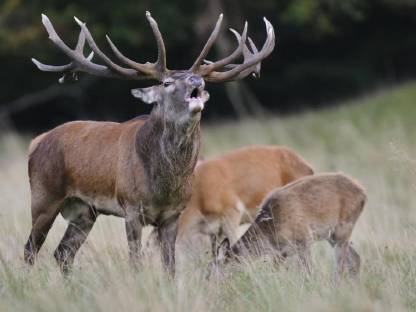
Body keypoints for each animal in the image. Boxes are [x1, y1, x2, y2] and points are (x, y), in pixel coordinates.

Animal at [24, 12, 274, 272]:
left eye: (202, 79)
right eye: (166, 83)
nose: (197, 81)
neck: (164, 185)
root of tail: (37, 141)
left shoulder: (173, 214)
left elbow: (170, 265)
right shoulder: (132, 208)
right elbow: (135, 261)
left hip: (84, 210)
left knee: (63, 253)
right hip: (44, 196)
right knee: (31, 248)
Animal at [216, 173, 366, 282]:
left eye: (213, 272)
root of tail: (363, 193)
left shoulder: (304, 239)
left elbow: (308, 273)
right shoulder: (280, 253)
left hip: (343, 228)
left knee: (341, 266)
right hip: (332, 235)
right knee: (355, 258)